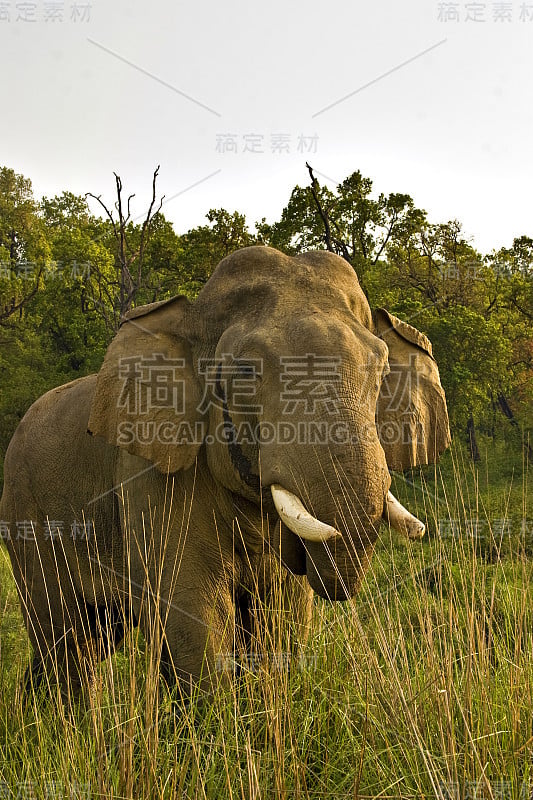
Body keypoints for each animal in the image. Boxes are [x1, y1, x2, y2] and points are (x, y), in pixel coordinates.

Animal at [0, 247, 448, 696]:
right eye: (246, 372)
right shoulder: (150, 474)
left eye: (382, 370)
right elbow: (194, 609)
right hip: (26, 516)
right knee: (66, 638)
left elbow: (282, 608)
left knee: (95, 635)